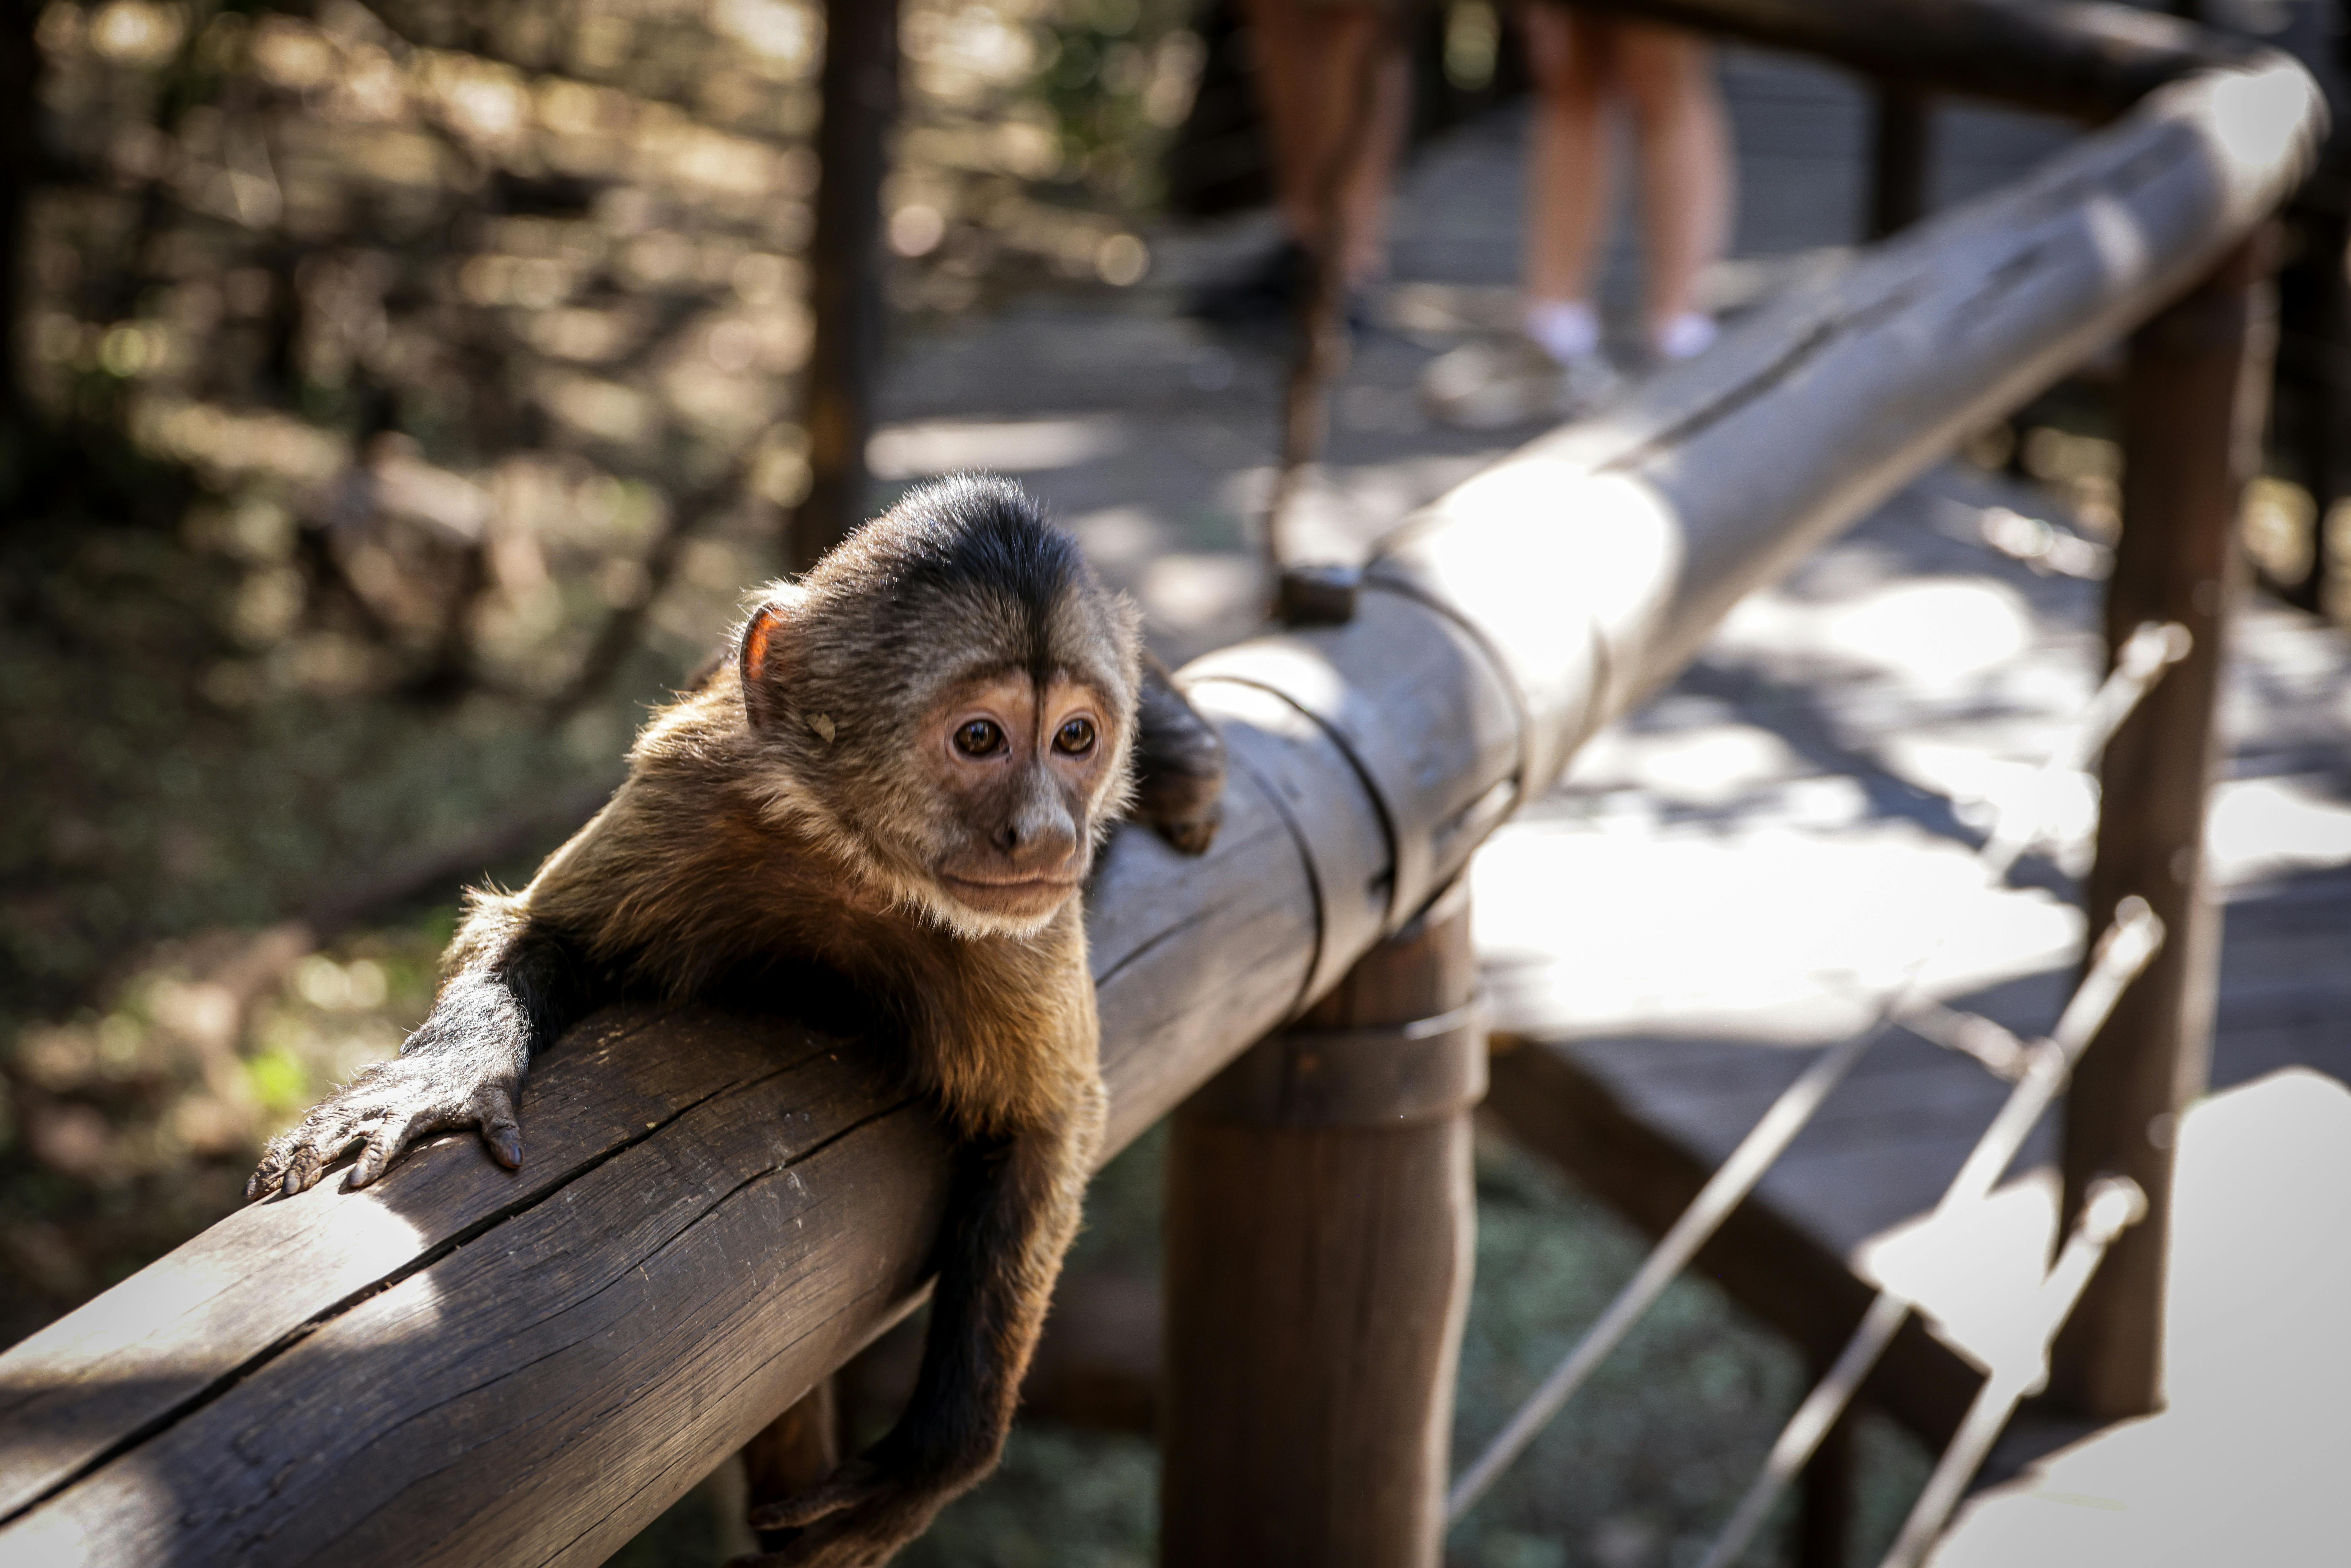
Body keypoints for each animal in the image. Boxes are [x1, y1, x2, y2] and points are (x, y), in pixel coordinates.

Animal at [246, 475, 1221, 1566]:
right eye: (980, 738)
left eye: (1074, 739)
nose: (1049, 834)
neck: (856, 864)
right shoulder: (696, 783)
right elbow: (532, 926)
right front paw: (441, 1078)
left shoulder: (1023, 932)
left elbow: (1052, 1122)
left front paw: (938, 1454)